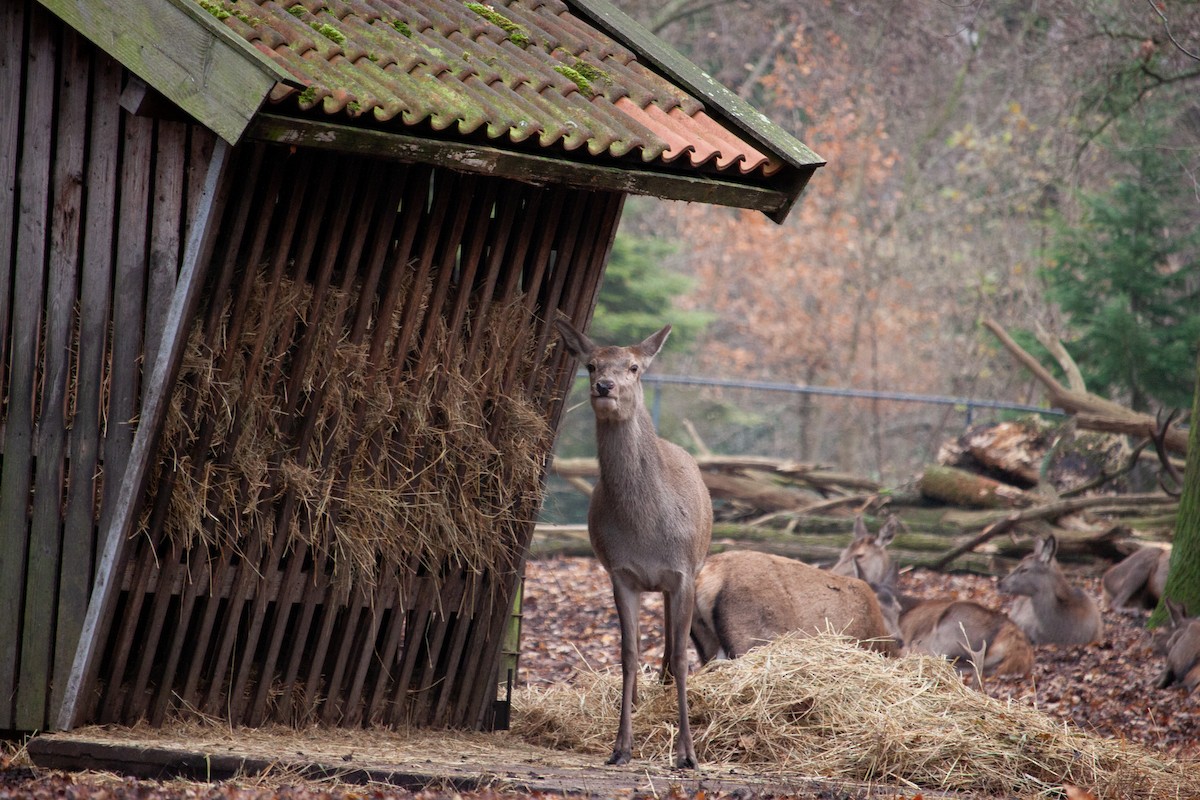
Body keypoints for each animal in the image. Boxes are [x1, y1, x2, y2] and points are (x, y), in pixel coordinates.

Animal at [554, 319, 713, 770]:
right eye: (590, 364)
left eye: (634, 367)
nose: (604, 386)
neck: (645, 532)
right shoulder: (620, 574)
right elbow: (627, 653)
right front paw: (621, 746)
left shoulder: (683, 573)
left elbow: (682, 654)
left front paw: (687, 753)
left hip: (693, 566)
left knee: (673, 642)